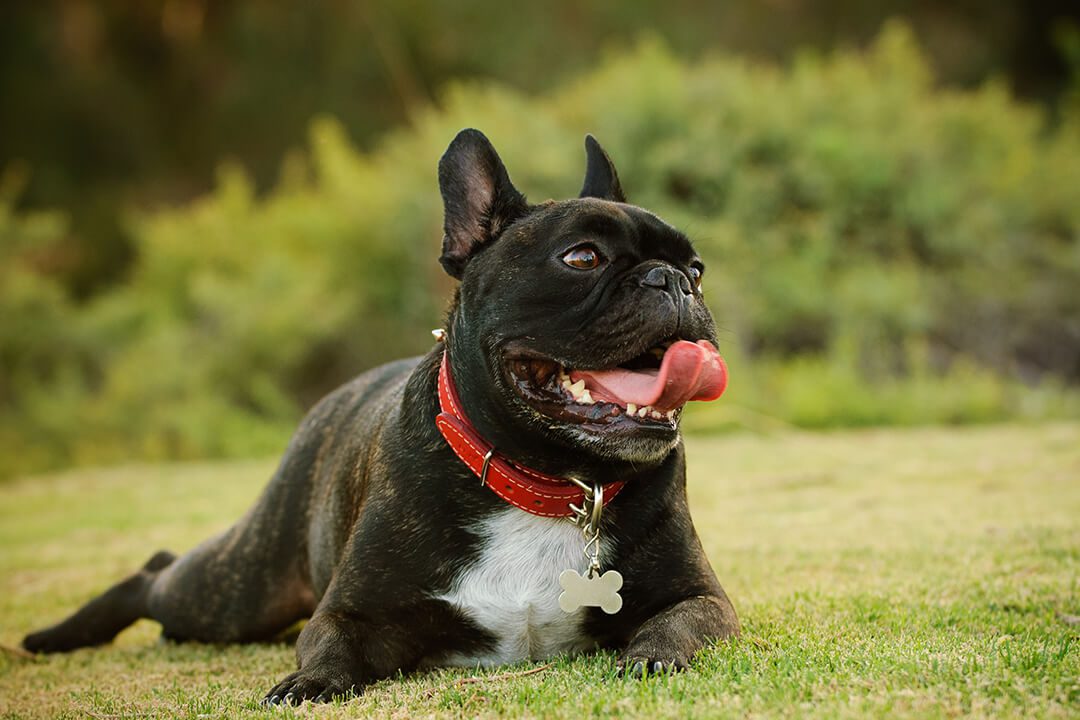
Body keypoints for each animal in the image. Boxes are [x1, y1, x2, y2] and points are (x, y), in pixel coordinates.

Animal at [21, 129, 738, 703]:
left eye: (699, 267)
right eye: (582, 257)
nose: (673, 280)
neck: (545, 482)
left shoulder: (701, 598)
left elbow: (681, 625)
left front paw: (652, 658)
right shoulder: (351, 612)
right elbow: (333, 644)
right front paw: (308, 681)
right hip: (240, 589)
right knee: (159, 574)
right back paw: (55, 636)